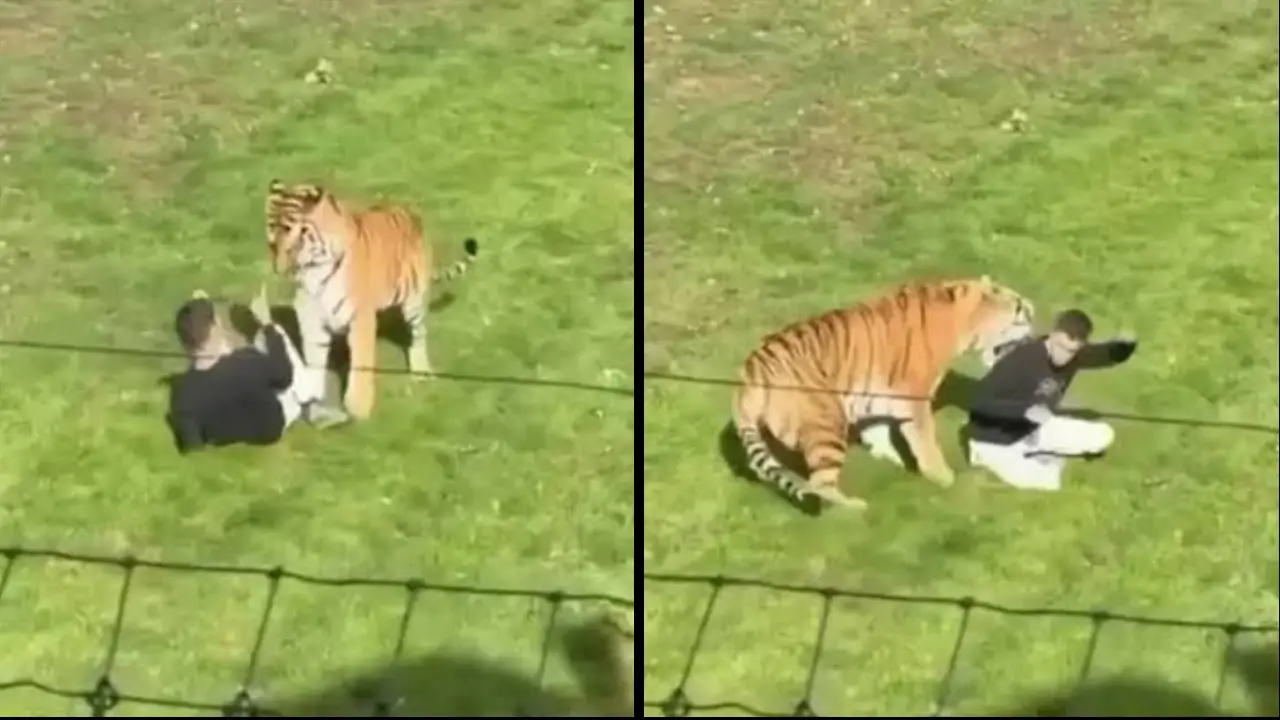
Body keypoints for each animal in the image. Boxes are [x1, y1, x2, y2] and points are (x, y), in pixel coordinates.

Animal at [265, 179, 479, 420]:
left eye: (292, 240)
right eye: (271, 244)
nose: (279, 270)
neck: (315, 272)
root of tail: (411, 212)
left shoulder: (360, 319)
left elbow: (361, 364)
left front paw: (358, 409)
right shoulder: (311, 323)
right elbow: (314, 361)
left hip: (414, 303)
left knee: (419, 334)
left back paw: (421, 371)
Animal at [731, 276, 1035, 514]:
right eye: (1022, 311)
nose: (1036, 330)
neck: (962, 319)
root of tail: (751, 371)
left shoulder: (874, 394)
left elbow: (878, 430)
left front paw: (894, 459)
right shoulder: (916, 397)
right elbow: (925, 441)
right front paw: (944, 478)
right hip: (826, 422)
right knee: (819, 483)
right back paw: (854, 508)